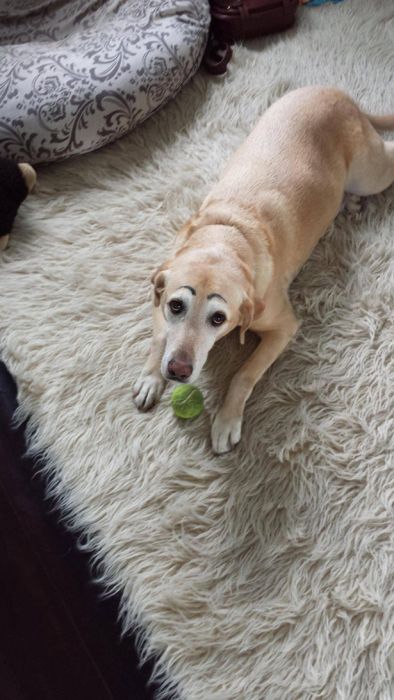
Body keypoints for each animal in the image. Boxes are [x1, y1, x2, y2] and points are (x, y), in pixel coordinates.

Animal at [133, 86, 394, 454]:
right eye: (176, 306)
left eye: (218, 318)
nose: (178, 371)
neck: (228, 235)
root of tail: (338, 94)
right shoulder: (160, 287)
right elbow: (160, 335)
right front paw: (150, 377)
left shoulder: (284, 327)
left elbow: (244, 373)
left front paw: (227, 419)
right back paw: (350, 202)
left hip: (371, 172)